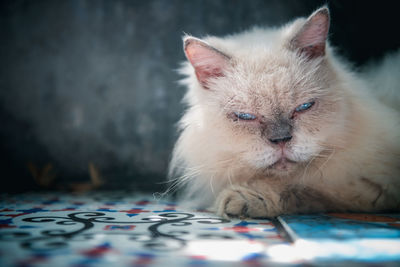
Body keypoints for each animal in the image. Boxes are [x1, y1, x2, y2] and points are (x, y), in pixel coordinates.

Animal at [169, 7, 400, 219]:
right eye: (246, 117)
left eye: (303, 107)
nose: (281, 140)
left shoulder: (369, 184)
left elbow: (303, 187)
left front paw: (242, 199)